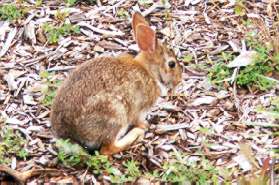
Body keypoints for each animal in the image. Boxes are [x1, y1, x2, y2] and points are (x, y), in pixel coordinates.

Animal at [50, 12, 184, 155]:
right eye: (172, 64)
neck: (149, 71)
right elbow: (138, 120)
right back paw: (136, 134)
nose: (179, 80)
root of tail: (69, 135)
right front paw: (144, 125)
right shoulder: (138, 109)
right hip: (116, 114)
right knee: (107, 149)